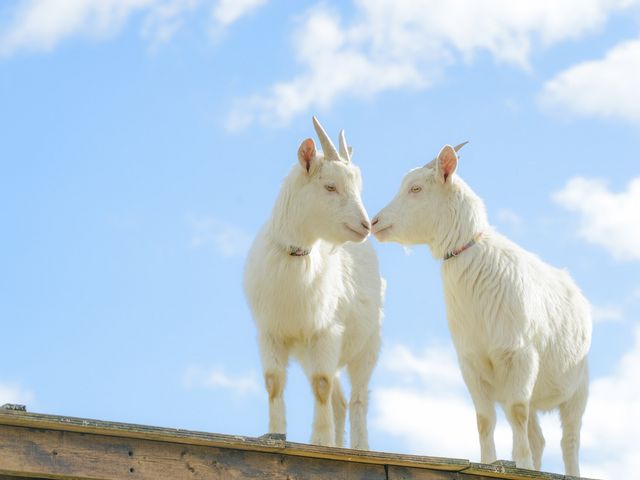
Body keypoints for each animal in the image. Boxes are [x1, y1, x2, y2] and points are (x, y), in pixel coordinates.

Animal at [244, 117, 384, 450]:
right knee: (340, 401)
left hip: (368, 344)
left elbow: (320, 384)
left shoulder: (326, 331)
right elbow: (274, 383)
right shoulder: (271, 333)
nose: (365, 226)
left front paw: (320, 441)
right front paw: (275, 433)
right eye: (330, 186)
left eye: (357, 187)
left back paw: (360, 448)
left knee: (358, 398)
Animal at [372, 144, 592, 474]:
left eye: (416, 188)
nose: (374, 222)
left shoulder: (518, 355)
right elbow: (484, 420)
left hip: (578, 387)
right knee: (538, 436)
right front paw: (490, 462)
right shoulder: (472, 362)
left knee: (570, 439)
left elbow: (516, 412)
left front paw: (521, 464)